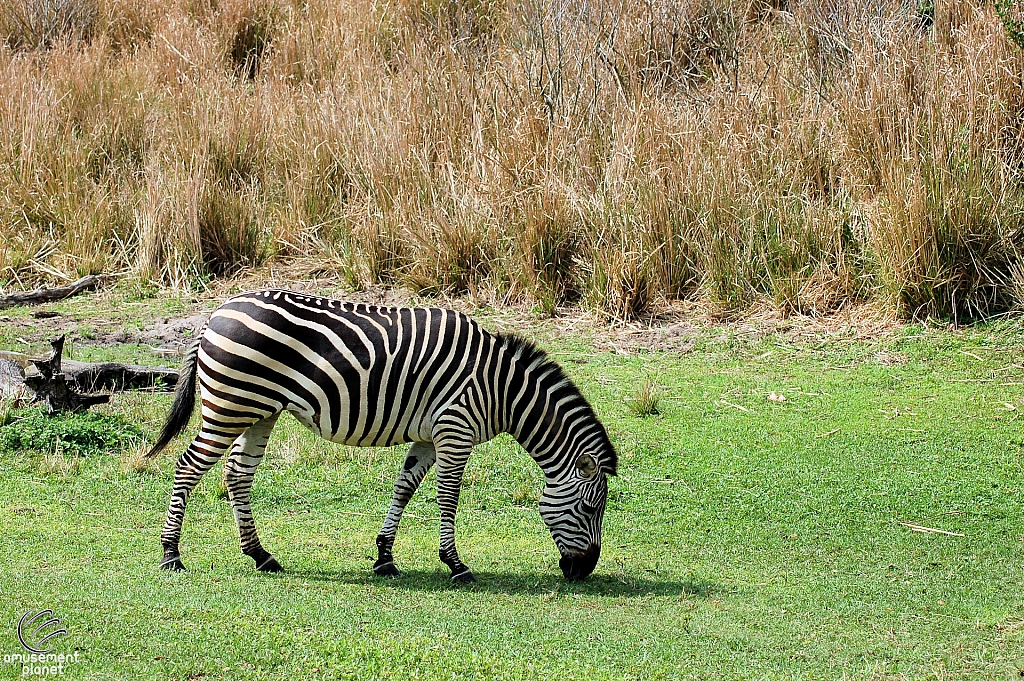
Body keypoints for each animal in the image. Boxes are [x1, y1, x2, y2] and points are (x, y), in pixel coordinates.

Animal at [146, 288, 614, 581]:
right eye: (591, 509)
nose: (584, 571)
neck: (502, 389)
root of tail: (214, 314)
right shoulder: (455, 429)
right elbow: (449, 497)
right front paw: (455, 564)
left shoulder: (429, 435)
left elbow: (404, 489)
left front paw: (385, 557)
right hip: (231, 404)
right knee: (189, 466)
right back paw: (171, 554)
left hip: (260, 410)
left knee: (237, 475)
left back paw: (261, 556)